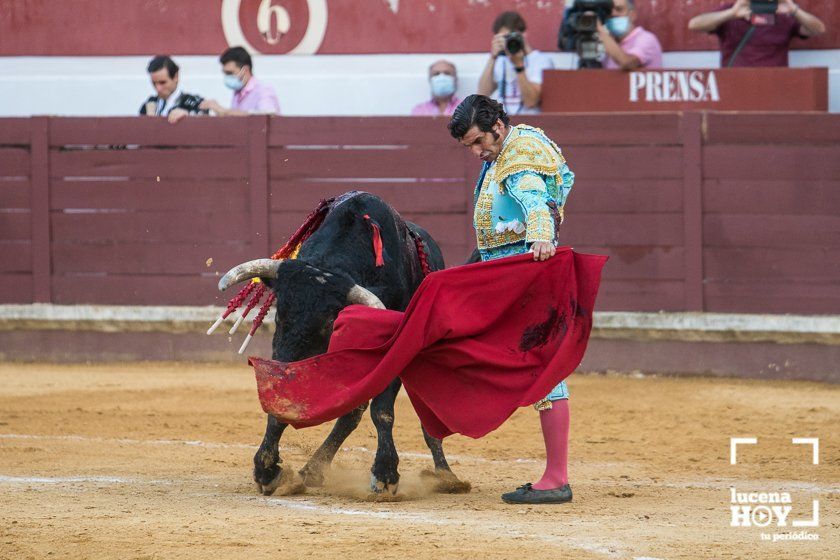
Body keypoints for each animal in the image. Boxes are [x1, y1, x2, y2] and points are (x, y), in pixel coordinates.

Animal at [220, 194, 470, 494]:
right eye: (280, 312)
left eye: (329, 322)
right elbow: (282, 402)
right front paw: (266, 470)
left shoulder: (393, 355)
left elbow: (382, 411)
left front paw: (385, 474)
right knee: (351, 414)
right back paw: (311, 471)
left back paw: (446, 477)